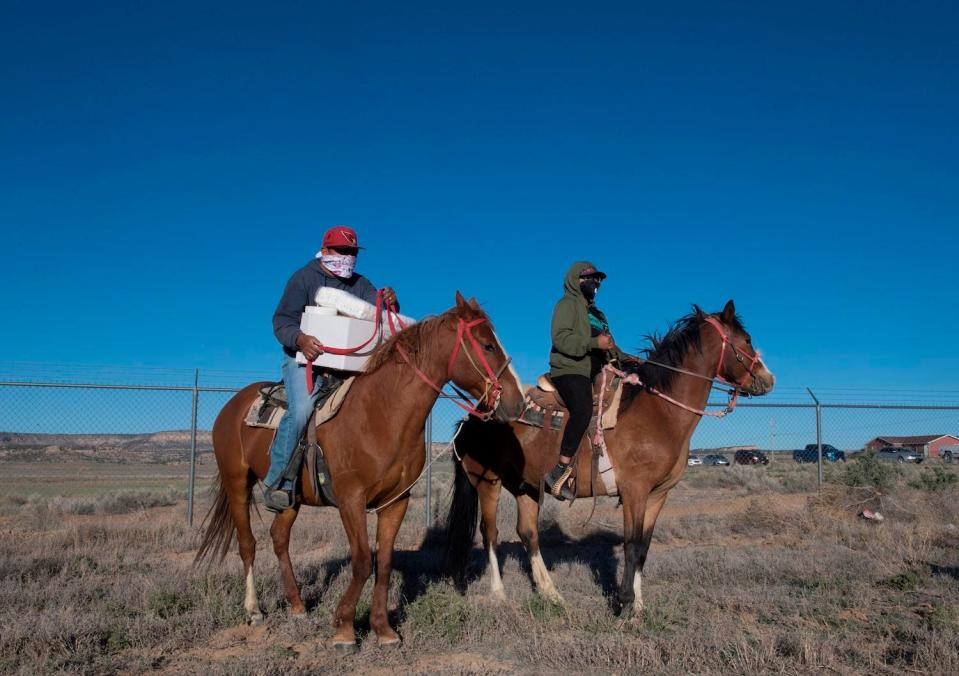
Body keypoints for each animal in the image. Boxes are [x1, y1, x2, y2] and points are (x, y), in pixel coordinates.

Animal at [197, 294, 524, 652]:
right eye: (488, 345)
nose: (518, 402)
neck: (382, 414)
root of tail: (232, 406)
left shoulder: (396, 501)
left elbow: (384, 563)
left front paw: (383, 629)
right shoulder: (351, 498)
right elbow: (362, 561)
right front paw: (344, 628)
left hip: (290, 498)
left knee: (279, 538)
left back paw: (297, 605)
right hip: (237, 482)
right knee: (247, 543)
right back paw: (254, 610)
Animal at [446, 298, 776, 616]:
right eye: (746, 340)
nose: (768, 379)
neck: (659, 412)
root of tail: (472, 418)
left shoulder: (658, 495)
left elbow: (643, 547)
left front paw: (639, 605)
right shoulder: (634, 492)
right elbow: (631, 545)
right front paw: (625, 604)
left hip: (525, 486)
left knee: (528, 534)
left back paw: (553, 595)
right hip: (487, 483)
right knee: (490, 533)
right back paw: (499, 594)